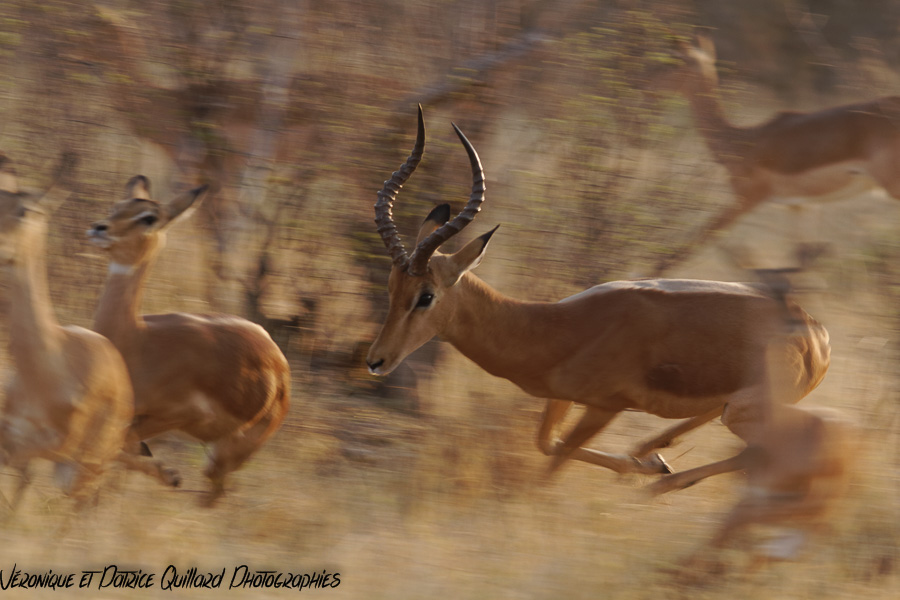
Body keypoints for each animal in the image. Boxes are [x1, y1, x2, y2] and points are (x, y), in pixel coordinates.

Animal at [88, 176, 288, 504]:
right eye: (117, 206)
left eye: (149, 218)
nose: (99, 228)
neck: (137, 342)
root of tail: (279, 363)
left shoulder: (179, 414)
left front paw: (171, 475)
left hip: (227, 453)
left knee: (215, 492)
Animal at [366, 108, 828, 492]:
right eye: (391, 286)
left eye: (426, 296)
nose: (375, 360)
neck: (556, 328)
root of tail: (815, 334)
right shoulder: (561, 397)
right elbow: (546, 443)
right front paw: (647, 464)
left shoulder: (606, 407)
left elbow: (551, 466)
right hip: (732, 408)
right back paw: (656, 456)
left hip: (745, 413)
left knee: (767, 450)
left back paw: (664, 482)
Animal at [652, 35, 900, 274]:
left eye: (671, 62)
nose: (647, 85)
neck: (741, 142)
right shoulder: (800, 207)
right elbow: (800, 257)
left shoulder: (746, 199)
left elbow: (691, 245)